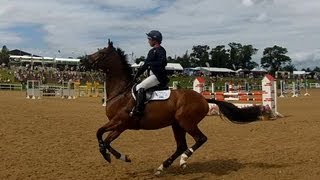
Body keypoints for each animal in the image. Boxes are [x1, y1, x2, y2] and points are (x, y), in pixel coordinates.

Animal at [87, 40, 268, 175]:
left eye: (102, 53)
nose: (84, 60)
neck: (121, 92)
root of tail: (203, 98)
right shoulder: (121, 125)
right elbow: (106, 139)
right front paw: (121, 157)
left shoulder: (120, 121)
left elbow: (99, 134)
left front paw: (108, 155)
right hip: (176, 124)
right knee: (181, 145)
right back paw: (162, 167)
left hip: (185, 122)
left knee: (200, 139)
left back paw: (183, 160)